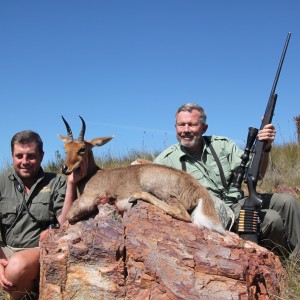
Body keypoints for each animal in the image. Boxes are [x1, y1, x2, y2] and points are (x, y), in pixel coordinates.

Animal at [58, 116, 225, 233]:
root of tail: (199, 190)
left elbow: (69, 217)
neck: (92, 175)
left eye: (82, 149)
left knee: (182, 213)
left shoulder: (89, 198)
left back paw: (135, 197)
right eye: (65, 148)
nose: (65, 168)